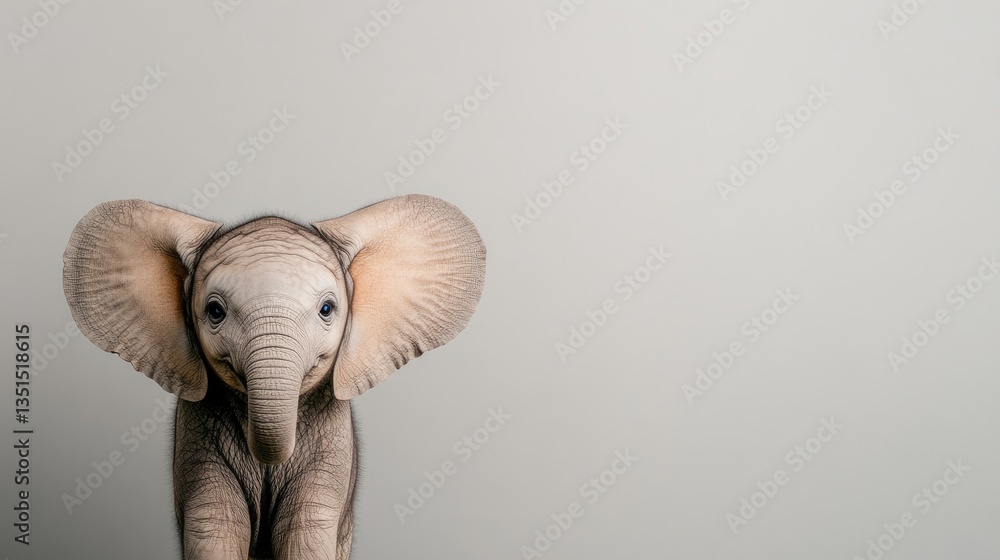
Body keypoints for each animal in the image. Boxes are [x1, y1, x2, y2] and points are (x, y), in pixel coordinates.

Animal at [62, 195, 486, 559]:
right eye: (214, 311)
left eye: (327, 309)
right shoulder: (198, 447)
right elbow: (214, 525)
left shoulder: (331, 452)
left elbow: (306, 531)